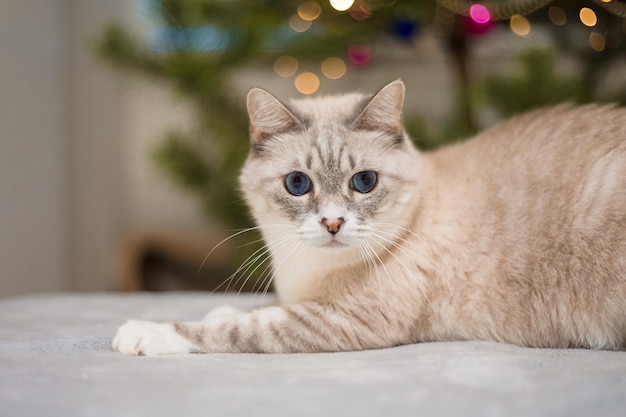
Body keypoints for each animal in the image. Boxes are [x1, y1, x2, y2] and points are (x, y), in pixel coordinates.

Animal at [112, 79, 624, 354]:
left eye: (364, 182)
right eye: (297, 184)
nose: (333, 223)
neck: (306, 273)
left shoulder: (342, 320)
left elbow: (238, 328)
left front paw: (144, 333)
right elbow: (249, 308)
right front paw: (221, 305)